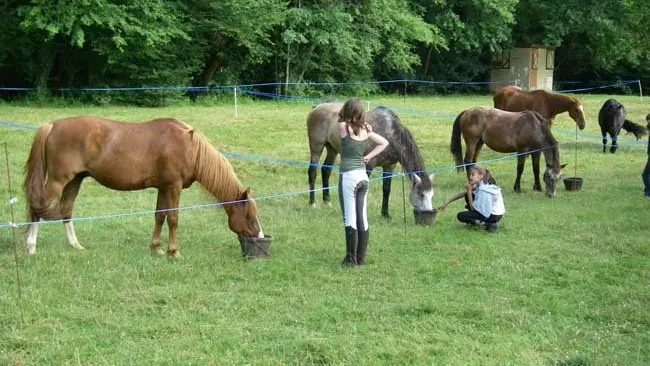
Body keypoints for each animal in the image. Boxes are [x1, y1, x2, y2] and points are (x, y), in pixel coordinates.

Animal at [23, 116, 260, 256]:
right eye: (249, 215)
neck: (189, 148)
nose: (258, 236)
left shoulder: (164, 187)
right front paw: (173, 252)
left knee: (66, 210)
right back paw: (31, 247)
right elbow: (173, 218)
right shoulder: (173, 187)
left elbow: (160, 216)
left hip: (75, 180)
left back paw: (75, 245)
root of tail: (54, 125)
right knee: (37, 207)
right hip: (57, 180)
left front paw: (156, 249)